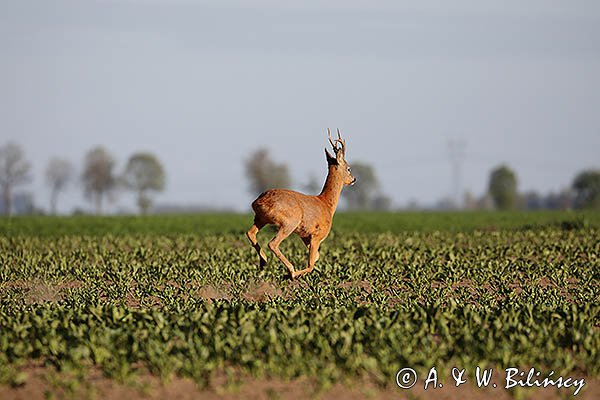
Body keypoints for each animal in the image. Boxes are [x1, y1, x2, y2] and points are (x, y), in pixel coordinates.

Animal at [245, 128, 354, 278]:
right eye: (349, 168)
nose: (354, 179)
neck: (327, 204)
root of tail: (259, 201)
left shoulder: (305, 236)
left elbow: (317, 257)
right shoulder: (317, 235)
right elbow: (311, 264)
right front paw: (293, 274)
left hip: (261, 218)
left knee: (250, 233)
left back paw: (263, 262)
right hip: (289, 222)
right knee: (272, 243)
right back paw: (290, 271)